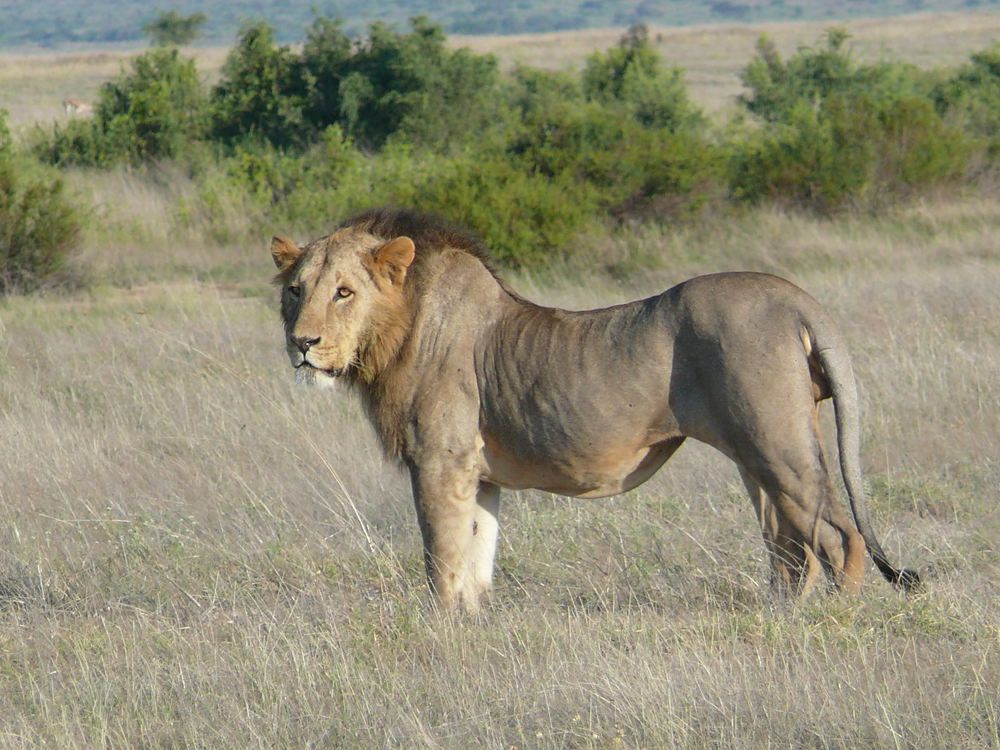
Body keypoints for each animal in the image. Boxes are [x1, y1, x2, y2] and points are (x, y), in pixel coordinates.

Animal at [269, 208, 920, 612]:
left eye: (344, 292)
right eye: (295, 290)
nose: (302, 343)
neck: (399, 329)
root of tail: (796, 298)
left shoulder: (439, 461)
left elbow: (442, 562)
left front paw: (441, 635)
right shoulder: (479, 476)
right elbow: (477, 562)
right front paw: (474, 627)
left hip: (777, 444)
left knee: (837, 538)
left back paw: (834, 623)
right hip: (758, 456)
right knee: (789, 548)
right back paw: (780, 617)